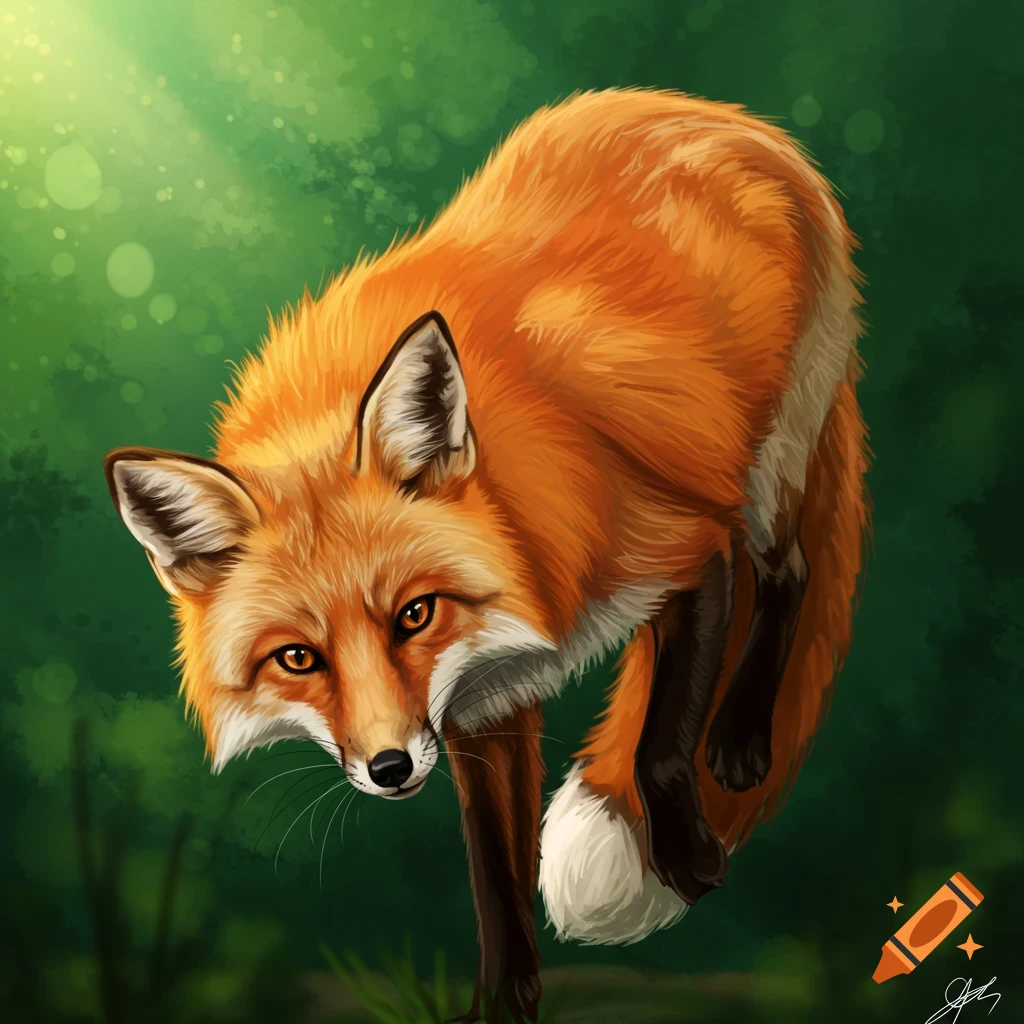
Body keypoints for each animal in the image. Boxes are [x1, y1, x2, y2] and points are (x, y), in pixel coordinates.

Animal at [104, 88, 869, 1023]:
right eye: (297, 658)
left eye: (414, 614)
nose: (391, 768)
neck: (523, 532)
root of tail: (726, 116)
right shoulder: (479, 705)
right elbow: (494, 876)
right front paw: (505, 1003)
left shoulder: (690, 550)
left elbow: (656, 747)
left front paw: (686, 859)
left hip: (766, 470)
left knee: (790, 574)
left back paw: (738, 737)